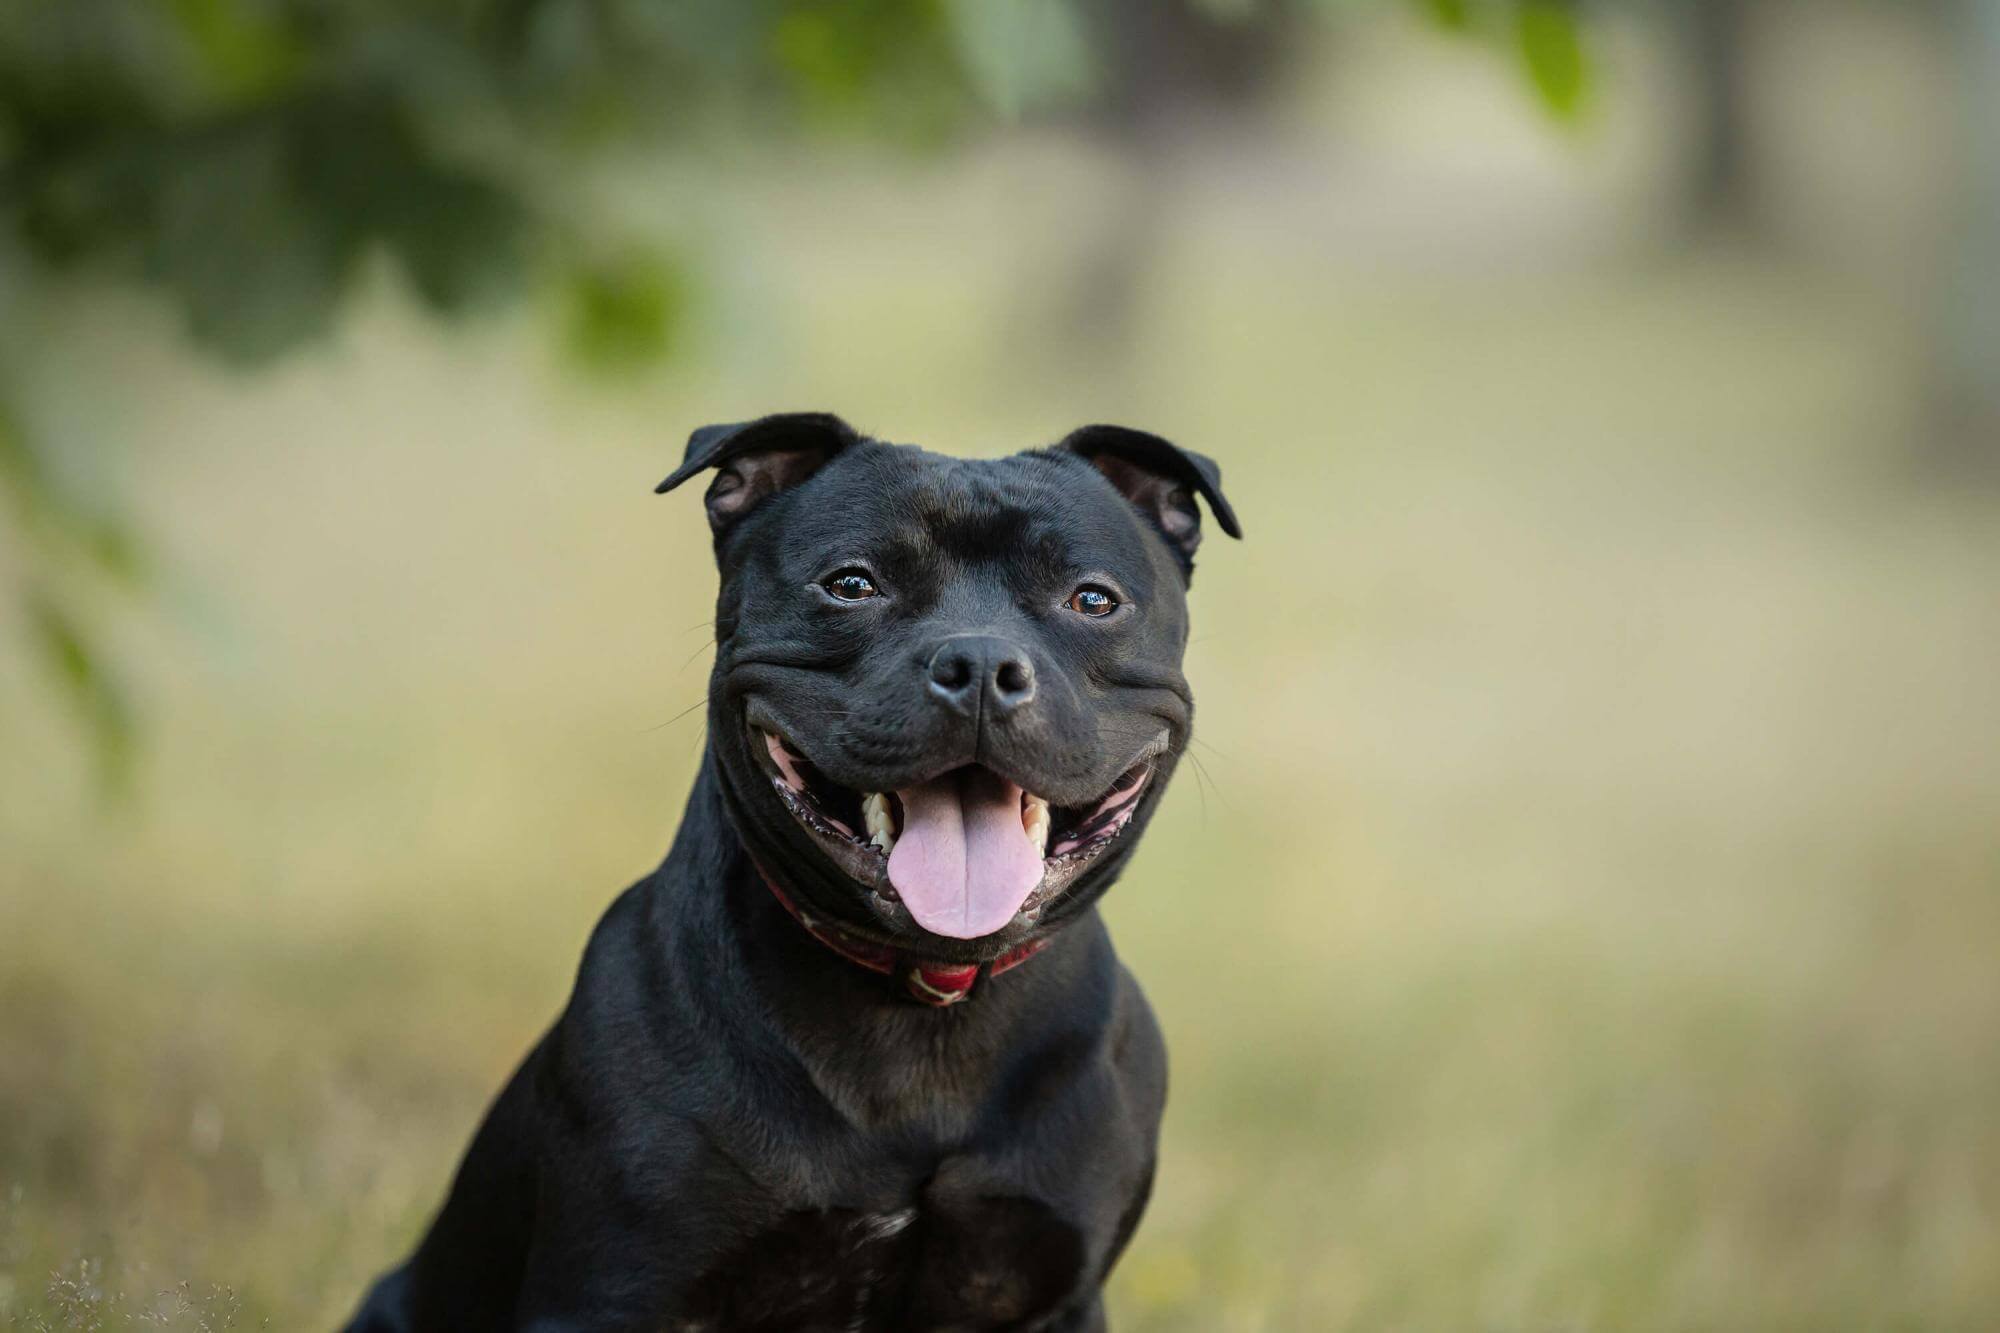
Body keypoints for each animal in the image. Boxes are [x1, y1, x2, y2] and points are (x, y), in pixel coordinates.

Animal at [352, 410, 1240, 1320]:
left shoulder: (1052, 1291)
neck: (922, 1007)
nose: (982, 666)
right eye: (851, 585)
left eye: (1092, 599)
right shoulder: (610, 1290)